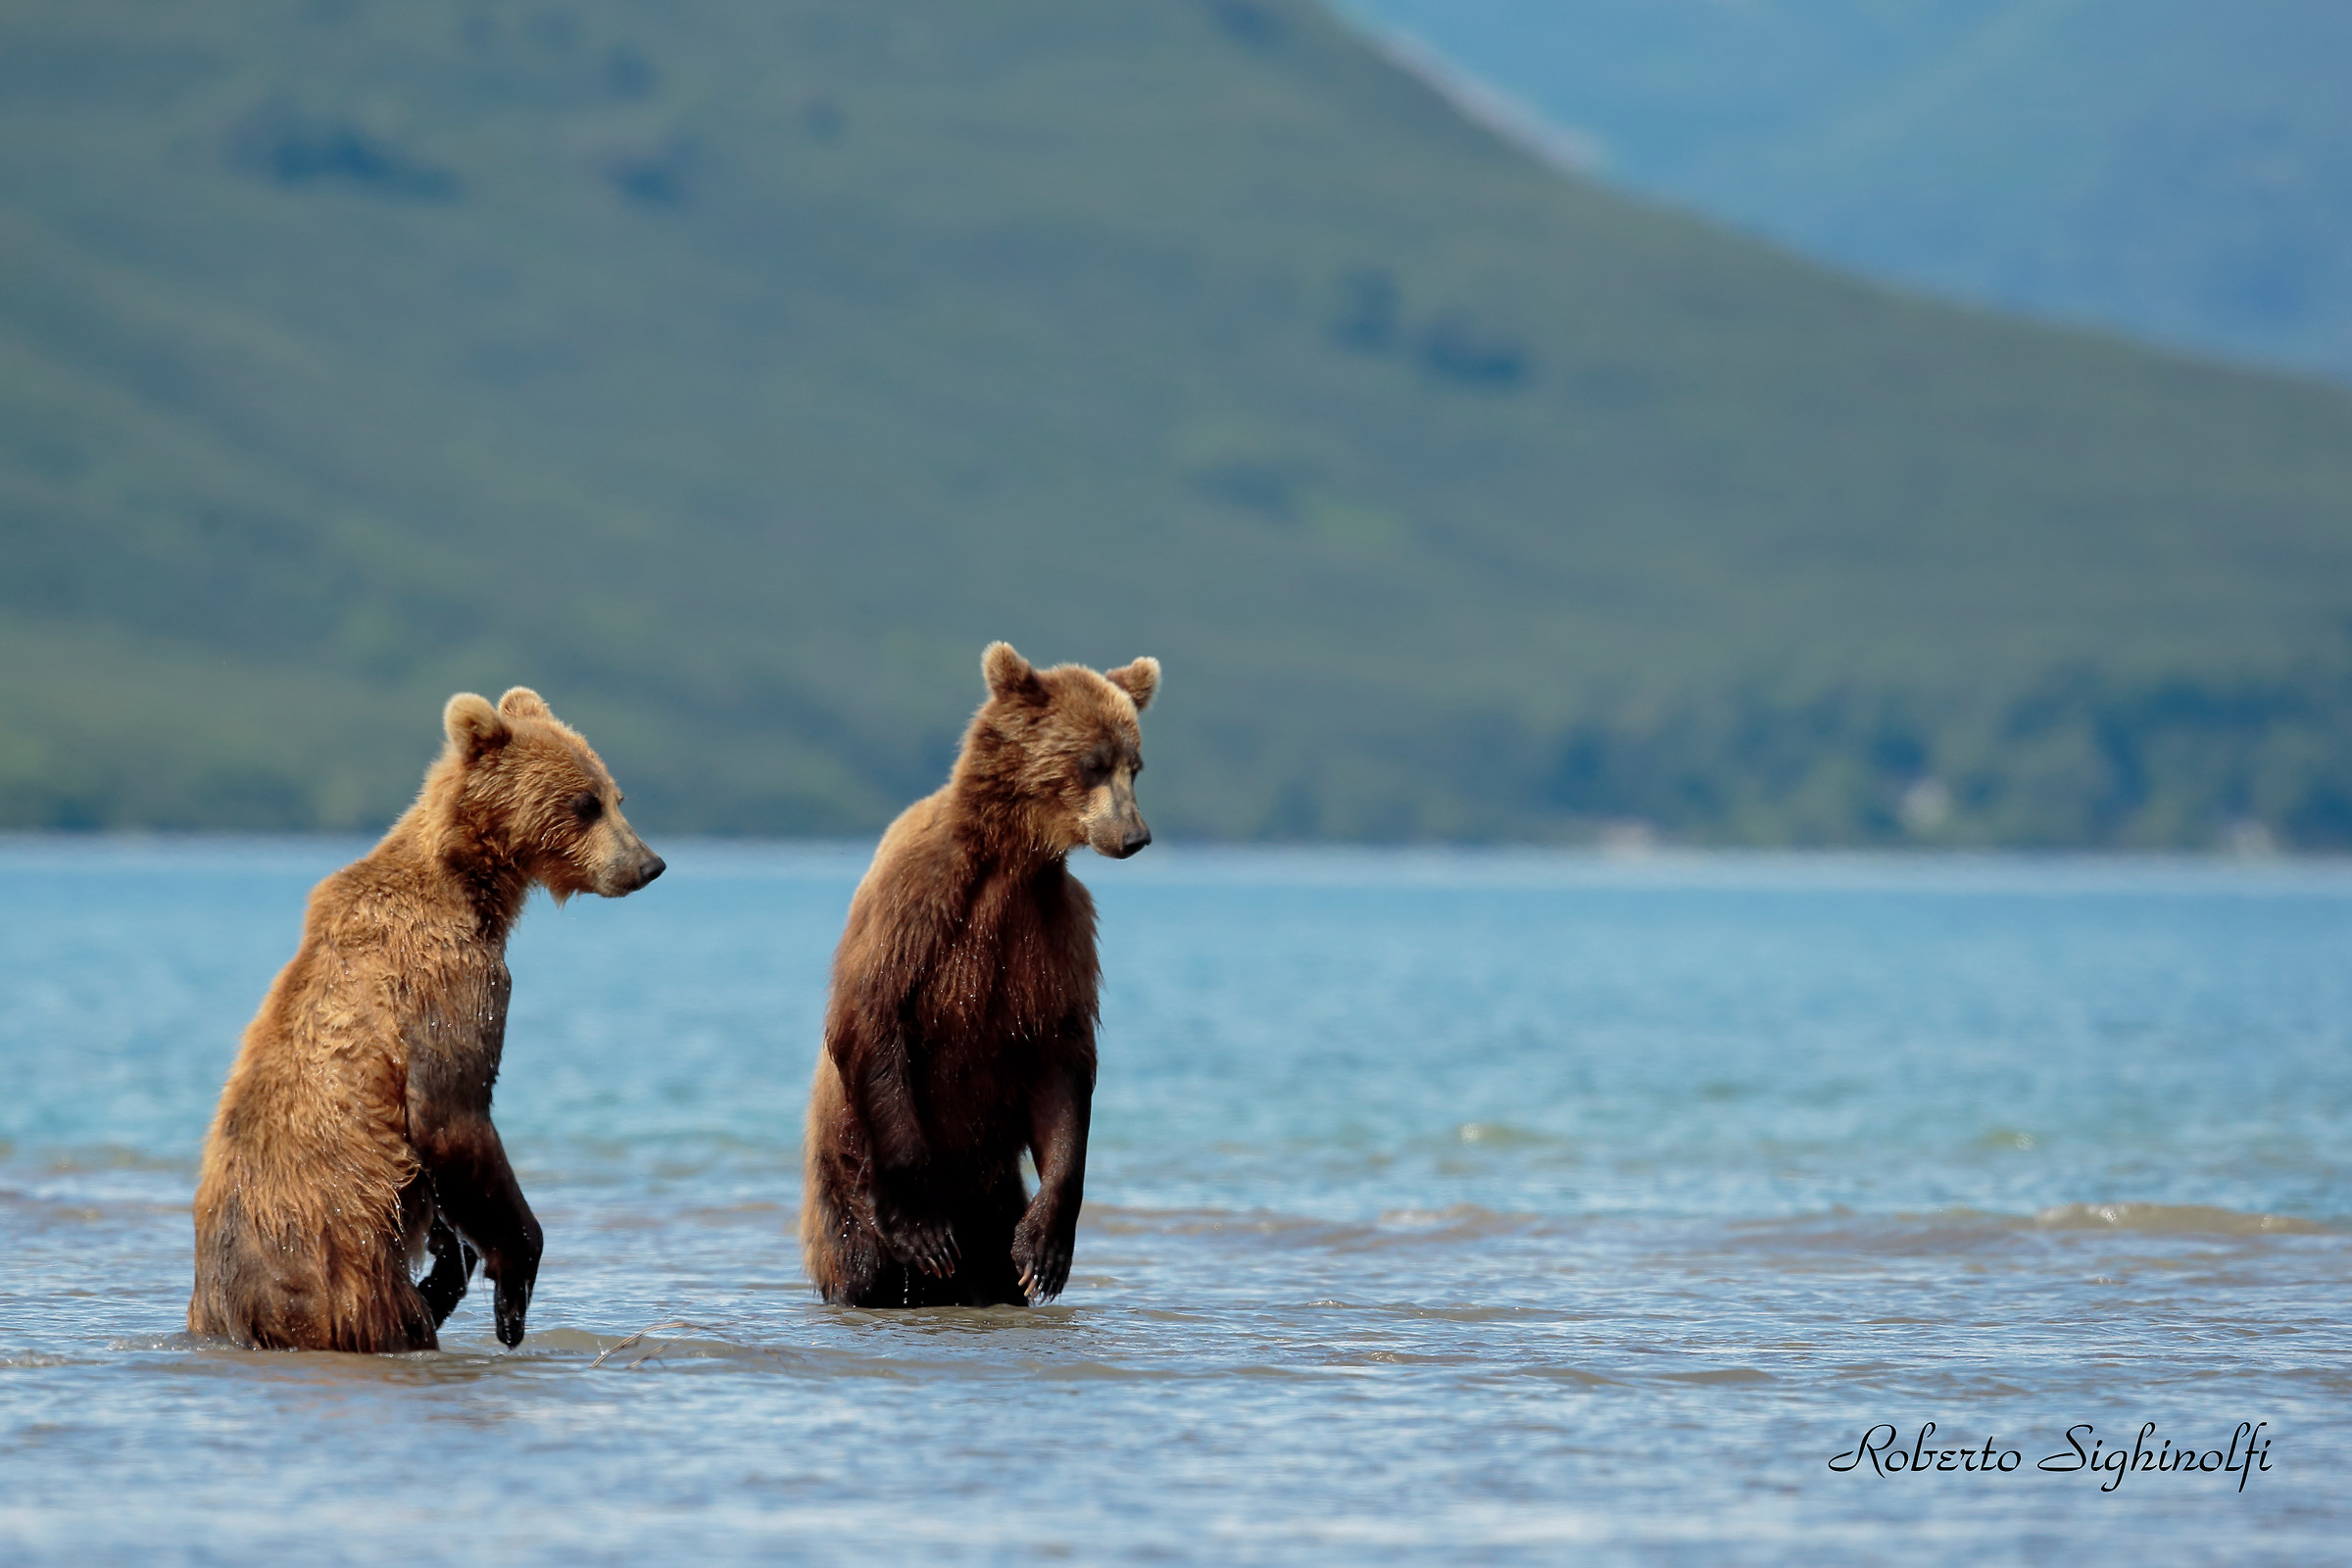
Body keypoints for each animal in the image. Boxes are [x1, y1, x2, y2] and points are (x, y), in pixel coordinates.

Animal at [187, 688, 664, 1353]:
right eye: (585, 803)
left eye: (618, 797)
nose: (648, 864)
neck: (469, 884)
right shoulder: (448, 976)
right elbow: (449, 1113)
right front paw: (512, 1286)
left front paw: (452, 1264)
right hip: (346, 1275)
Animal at [800, 642, 1159, 1308]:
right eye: (1093, 763)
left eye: (1135, 765)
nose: (1135, 835)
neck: (1011, 856)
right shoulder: (917, 901)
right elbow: (875, 1018)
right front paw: (923, 1230)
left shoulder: (1054, 933)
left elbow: (1061, 1058)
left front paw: (1044, 1251)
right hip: (845, 1177)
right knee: (860, 1264)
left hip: (989, 1194)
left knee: (991, 1262)